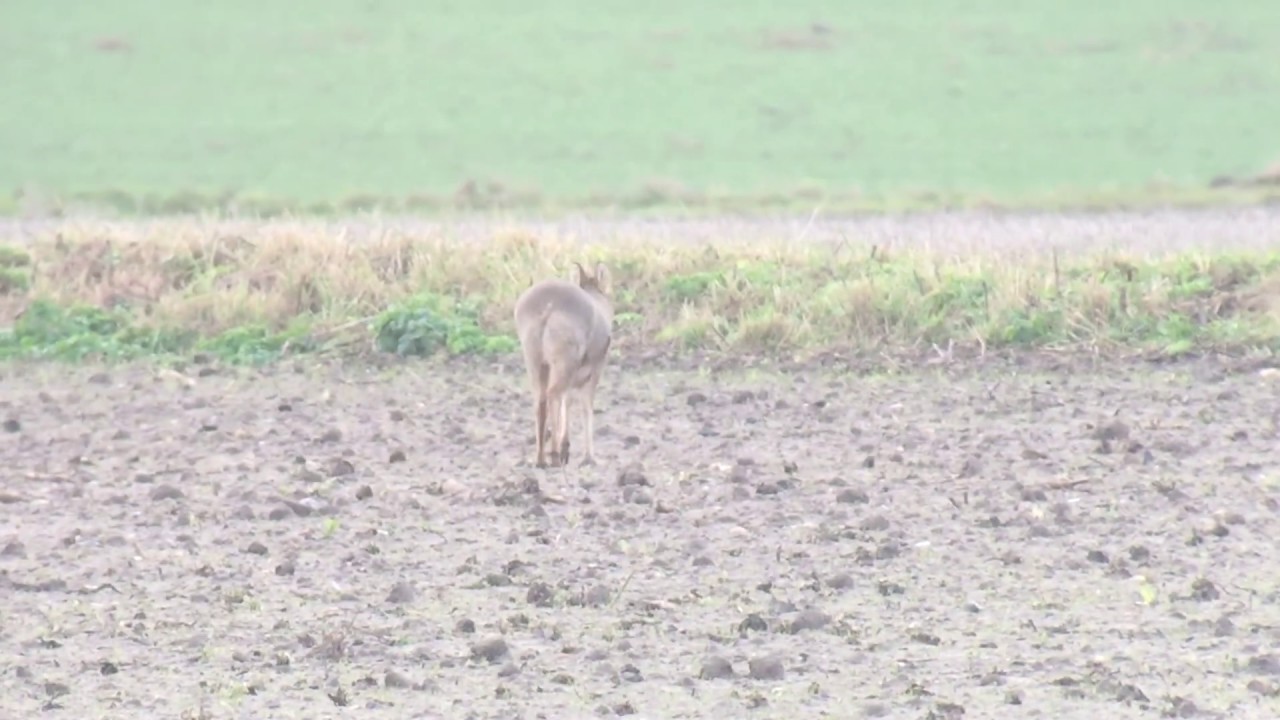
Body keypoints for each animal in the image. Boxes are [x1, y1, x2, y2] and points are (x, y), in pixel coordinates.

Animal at [513, 261, 614, 468]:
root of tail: (549, 304)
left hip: (536, 363)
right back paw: (553, 455)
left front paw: (567, 448)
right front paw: (589, 457)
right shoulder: (594, 370)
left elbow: (568, 401)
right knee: (553, 395)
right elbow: (585, 406)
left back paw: (541, 458)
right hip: (562, 363)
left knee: (541, 401)